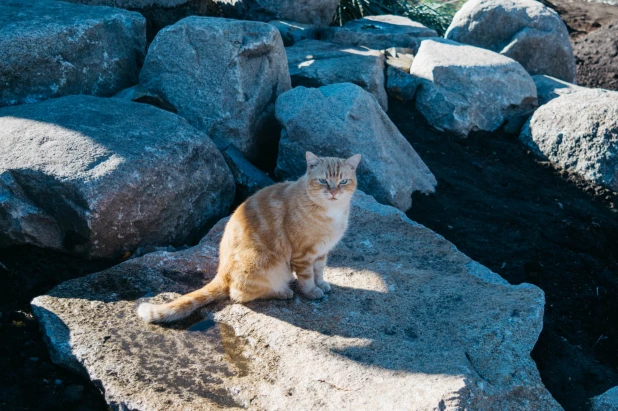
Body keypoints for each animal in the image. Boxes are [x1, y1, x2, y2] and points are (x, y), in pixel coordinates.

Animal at [137, 153, 358, 324]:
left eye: (343, 181)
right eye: (323, 181)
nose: (333, 192)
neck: (332, 213)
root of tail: (221, 272)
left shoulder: (321, 252)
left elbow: (319, 272)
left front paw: (321, 284)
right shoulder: (303, 255)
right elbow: (306, 278)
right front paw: (312, 291)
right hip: (265, 264)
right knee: (238, 294)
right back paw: (281, 292)